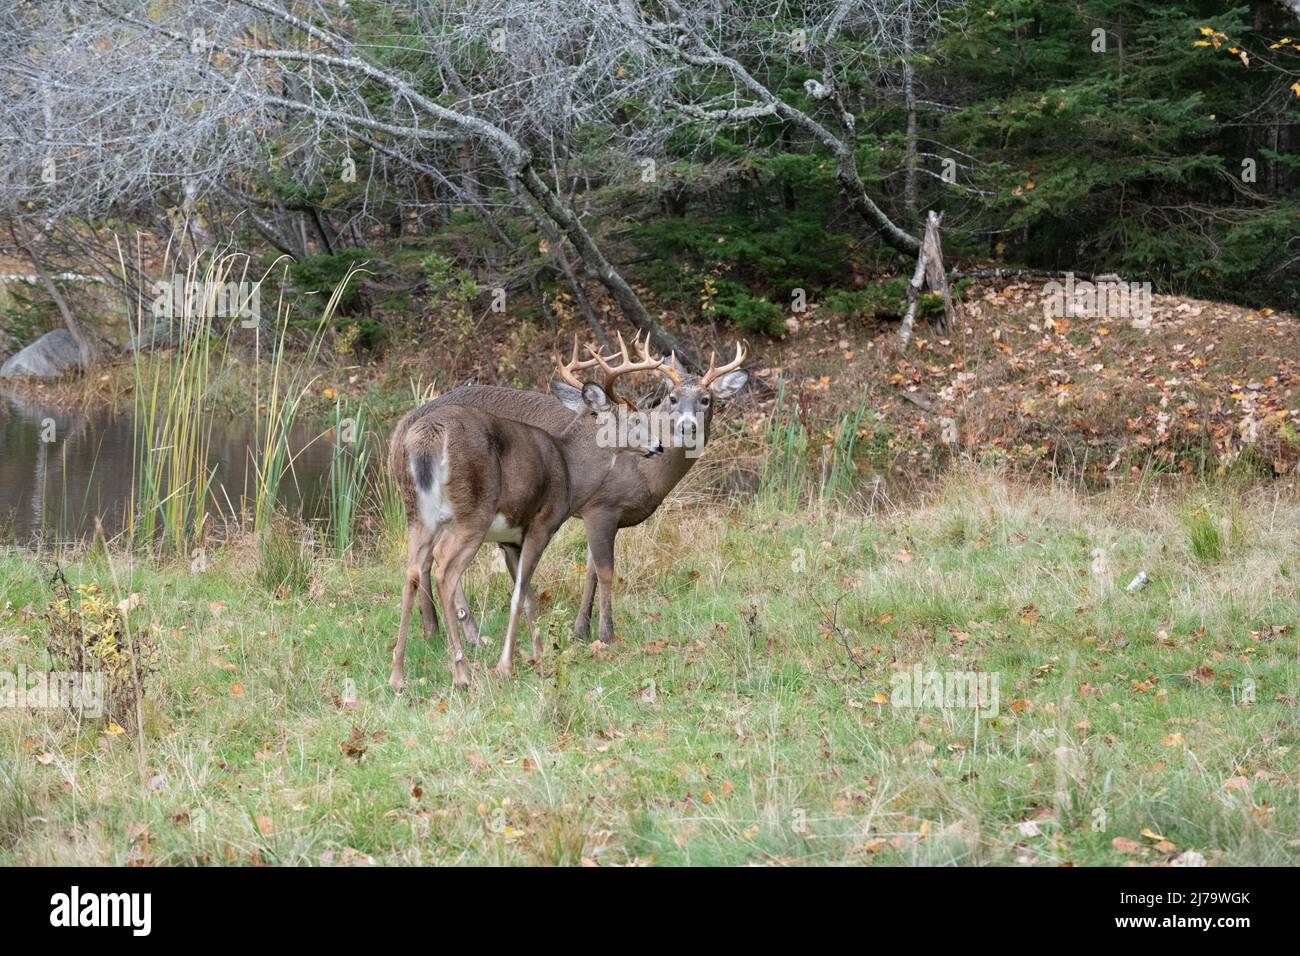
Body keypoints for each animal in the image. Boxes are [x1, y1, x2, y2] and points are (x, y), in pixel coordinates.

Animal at [384, 348, 665, 691]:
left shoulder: (511, 540)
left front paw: (540, 657)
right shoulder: (542, 523)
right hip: (472, 514)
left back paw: (397, 676)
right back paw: (462, 674)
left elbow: (529, 595)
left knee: (412, 571)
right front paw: (506, 665)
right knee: (444, 571)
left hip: (417, 514)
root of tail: (428, 440)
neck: (571, 469)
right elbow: (519, 594)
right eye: (635, 418)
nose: (658, 445)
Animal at [410, 332, 748, 655]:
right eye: (673, 398)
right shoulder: (602, 508)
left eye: (706, 399)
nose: (687, 426)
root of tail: (409, 421)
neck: (647, 473)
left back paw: (437, 630)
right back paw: (447, 632)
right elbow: (606, 571)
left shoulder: (596, 514)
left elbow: (590, 572)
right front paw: (606, 634)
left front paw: (580, 630)